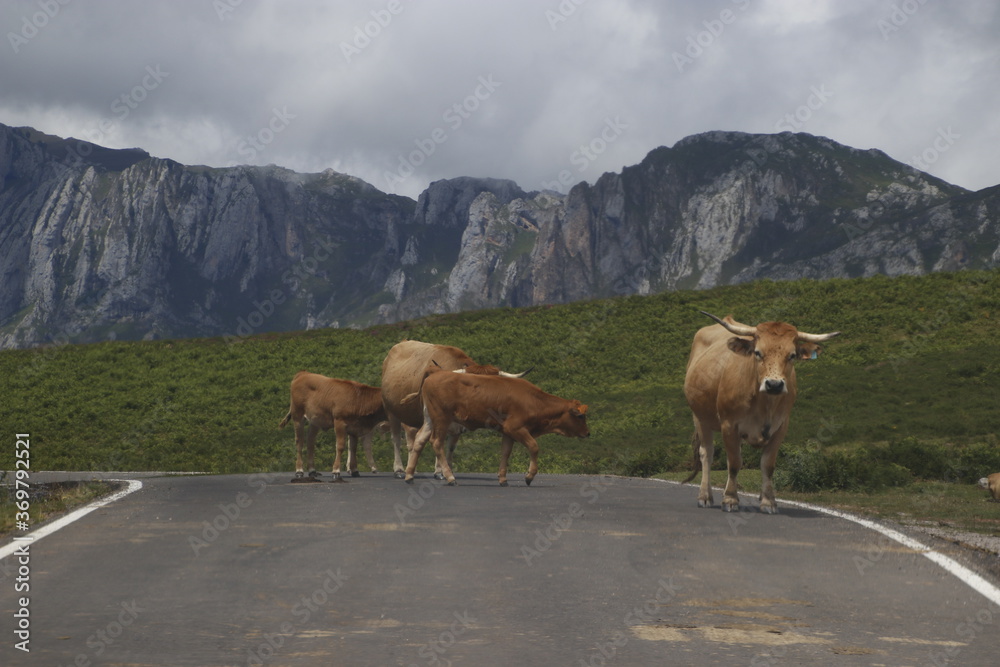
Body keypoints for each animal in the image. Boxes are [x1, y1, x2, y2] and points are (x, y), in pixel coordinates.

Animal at [381, 340, 529, 479]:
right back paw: (399, 469)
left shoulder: (458, 426)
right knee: (397, 439)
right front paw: (440, 471)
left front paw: (446, 470)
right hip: (391, 411)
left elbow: (450, 447)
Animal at [401, 366, 590, 486]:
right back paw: (450, 477)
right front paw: (529, 476)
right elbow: (534, 447)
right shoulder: (516, 428)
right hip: (441, 419)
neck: (533, 399)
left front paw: (503, 479)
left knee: (419, 440)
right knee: (437, 443)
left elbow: (505, 453)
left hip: (429, 419)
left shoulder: (508, 432)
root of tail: (433, 374)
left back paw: (409, 476)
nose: (588, 433)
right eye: (581, 416)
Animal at [683, 311, 840, 513]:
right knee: (707, 454)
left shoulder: (781, 427)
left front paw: (768, 501)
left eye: (792, 355)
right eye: (757, 352)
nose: (774, 384)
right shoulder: (729, 425)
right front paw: (730, 500)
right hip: (700, 418)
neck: (765, 405)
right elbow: (735, 464)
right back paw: (705, 496)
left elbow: (767, 464)